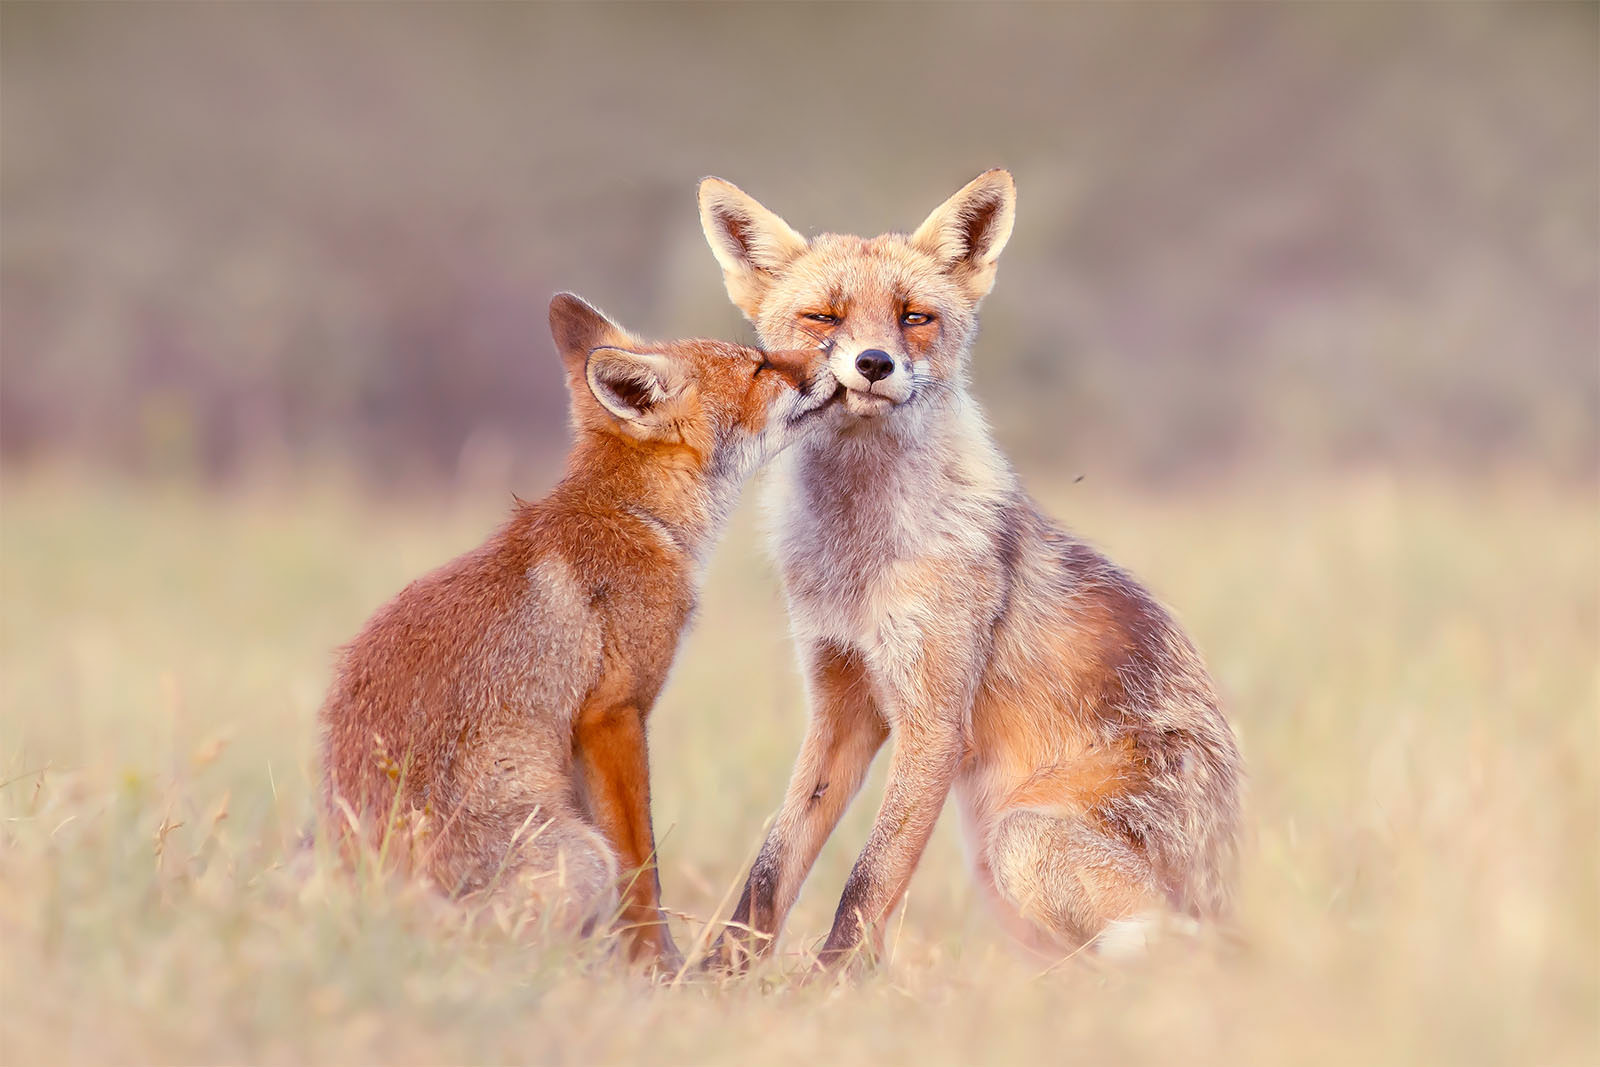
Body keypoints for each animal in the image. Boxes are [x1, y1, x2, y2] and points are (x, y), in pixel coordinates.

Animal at [315, 292, 838, 966]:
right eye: (761, 365)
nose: (851, 352)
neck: (635, 518)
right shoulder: (612, 713)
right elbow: (642, 871)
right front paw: (658, 969)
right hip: (580, 857)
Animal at [694, 171, 1241, 972]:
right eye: (823, 316)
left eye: (914, 317)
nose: (874, 363)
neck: (860, 559)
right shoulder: (840, 702)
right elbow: (772, 865)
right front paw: (716, 976)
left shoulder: (933, 717)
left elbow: (869, 878)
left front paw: (832, 982)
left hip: (1016, 840)